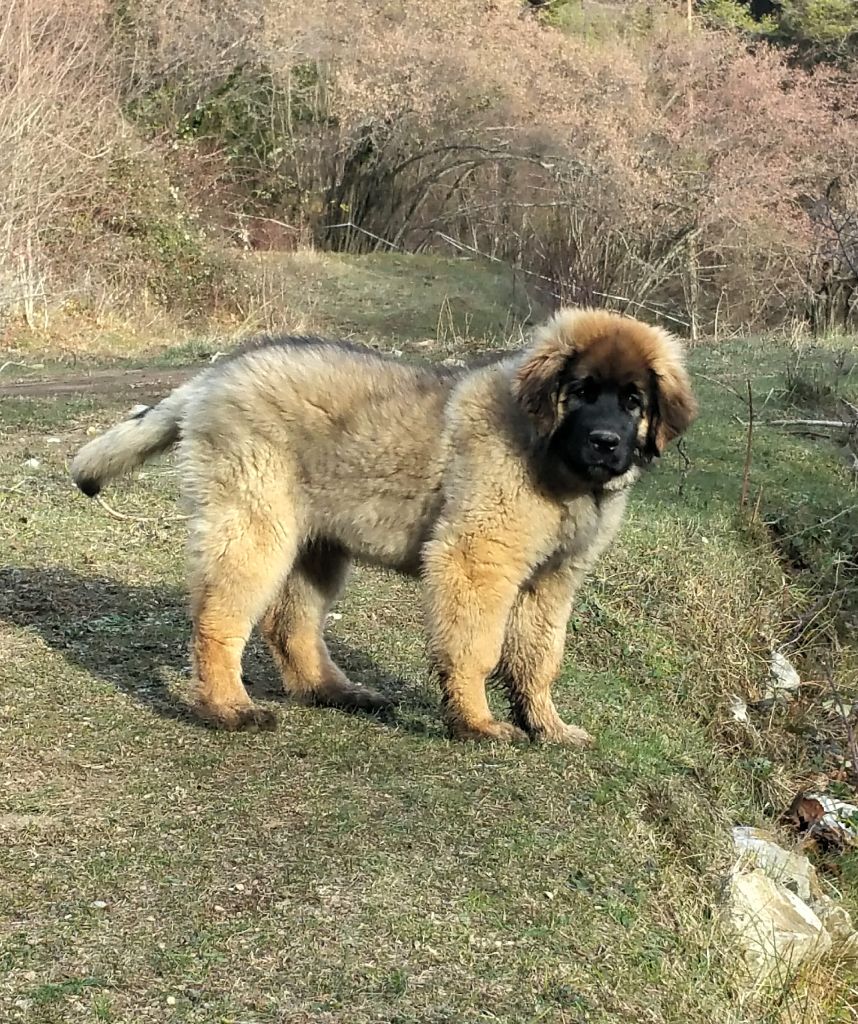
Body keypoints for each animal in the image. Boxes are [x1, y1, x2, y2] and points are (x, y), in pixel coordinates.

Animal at [70, 305, 696, 745]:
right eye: (581, 393)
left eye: (634, 401)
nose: (606, 443)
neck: (554, 462)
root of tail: (212, 377)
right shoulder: (476, 558)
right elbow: (477, 647)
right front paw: (475, 723)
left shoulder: (552, 581)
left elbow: (538, 658)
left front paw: (547, 726)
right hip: (253, 524)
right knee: (217, 621)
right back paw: (229, 709)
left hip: (316, 543)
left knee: (290, 624)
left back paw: (334, 691)